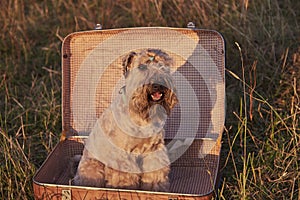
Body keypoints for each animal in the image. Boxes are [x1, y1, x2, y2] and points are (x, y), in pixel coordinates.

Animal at [74, 48, 178, 192]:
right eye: (142, 66)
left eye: (163, 66)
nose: (158, 83)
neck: (141, 116)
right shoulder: (122, 155)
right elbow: (123, 177)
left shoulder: (154, 150)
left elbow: (154, 174)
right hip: (92, 166)